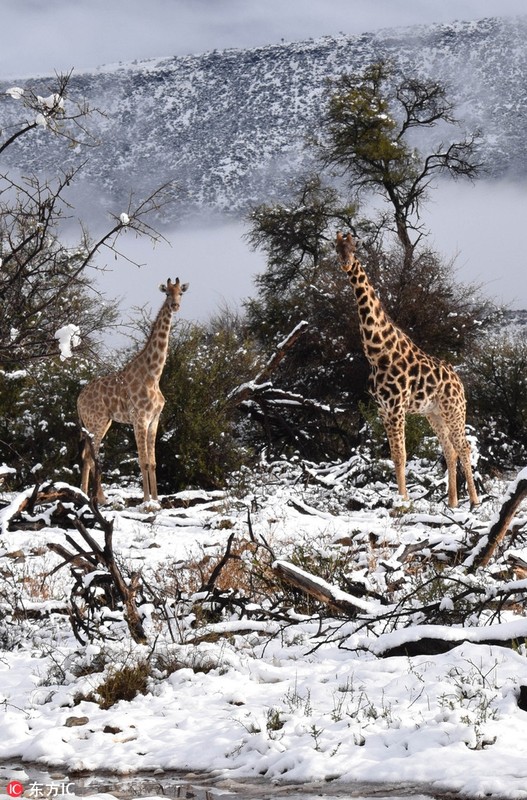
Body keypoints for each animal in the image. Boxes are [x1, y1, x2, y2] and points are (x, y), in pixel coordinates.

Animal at [76, 276, 188, 500]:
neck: (153, 375)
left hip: (103, 422)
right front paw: (146, 501)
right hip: (96, 421)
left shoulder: (154, 419)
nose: (175, 305)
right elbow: (142, 461)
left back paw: (88, 495)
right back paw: (97, 497)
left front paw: (156, 500)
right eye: (167, 293)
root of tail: (78, 399)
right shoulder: (139, 418)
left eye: (181, 292)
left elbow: (152, 462)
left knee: (87, 455)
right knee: (91, 456)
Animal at [336, 231, 480, 506]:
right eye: (337, 248)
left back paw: (475, 501)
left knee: (464, 446)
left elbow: (402, 455)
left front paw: (403, 502)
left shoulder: (396, 407)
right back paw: (452, 502)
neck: (378, 351)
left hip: (455, 410)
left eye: (354, 248)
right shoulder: (383, 410)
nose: (346, 265)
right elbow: (394, 455)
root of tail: (459, 381)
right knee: (449, 450)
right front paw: (400, 499)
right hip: (434, 413)